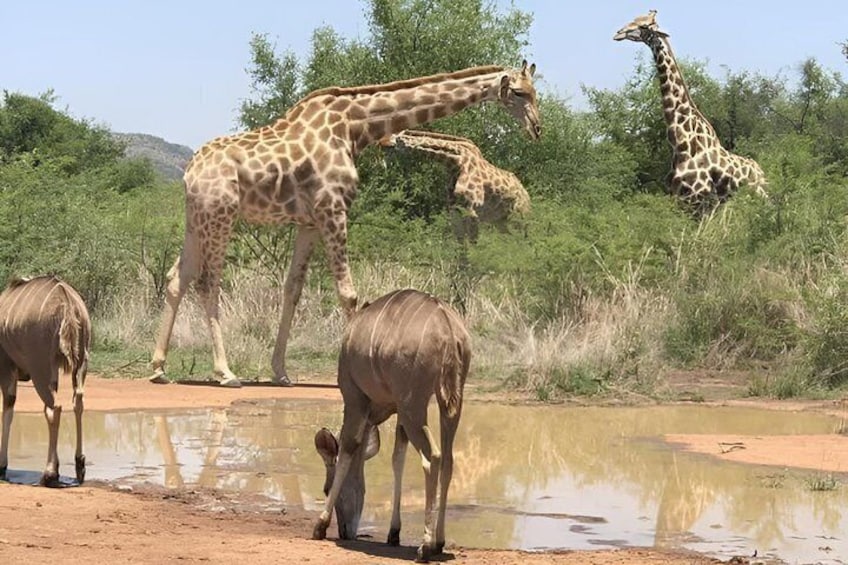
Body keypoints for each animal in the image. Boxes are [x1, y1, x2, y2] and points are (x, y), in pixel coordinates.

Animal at [151, 62, 540, 388]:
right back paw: (225, 372)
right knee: (207, 282)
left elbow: (293, 289)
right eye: (521, 93)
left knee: (177, 277)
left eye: (535, 91)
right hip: (222, 215)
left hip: (196, 218)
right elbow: (349, 294)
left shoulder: (308, 221)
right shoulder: (333, 208)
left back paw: (158, 367)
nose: (537, 128)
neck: (356, 127)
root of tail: (189, 172)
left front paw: (281, 372)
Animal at [614, 11, 767, 208]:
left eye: (645, 26)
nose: (618, 33)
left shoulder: (699, 200)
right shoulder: (679, 197)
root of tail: (761, 172)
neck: (681, 145)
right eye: (635, 18)